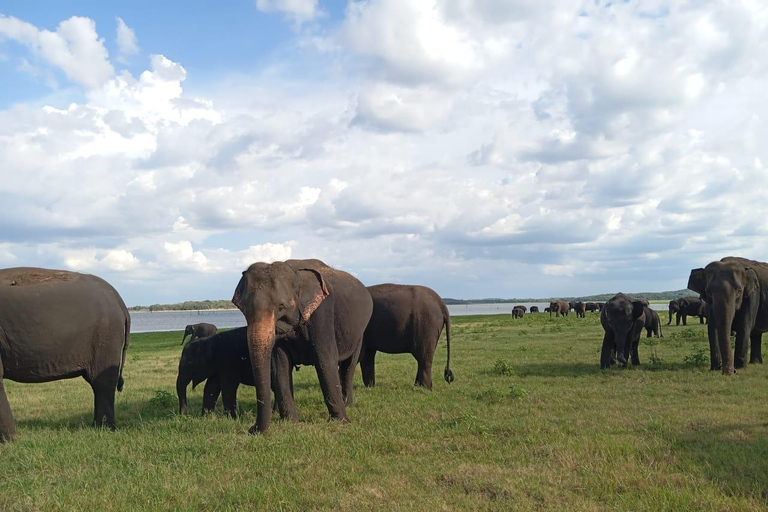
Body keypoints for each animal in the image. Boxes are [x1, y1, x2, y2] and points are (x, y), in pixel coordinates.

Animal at [0, 268, 130, 440]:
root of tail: (118, 299)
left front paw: (9, 442)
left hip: (106, 336)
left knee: (102, 382)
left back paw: (105, 429)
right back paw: (97, 427)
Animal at [232, 260, 374, 432]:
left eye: (281, 307)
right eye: (243, 309)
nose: (252, 429)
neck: (296, 274)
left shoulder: (322, 311)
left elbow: (325, 359)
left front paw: (341, 422)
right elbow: (280, 366)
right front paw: (291, 422)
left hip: (359, 332)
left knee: (349, 366)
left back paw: (348, 405)